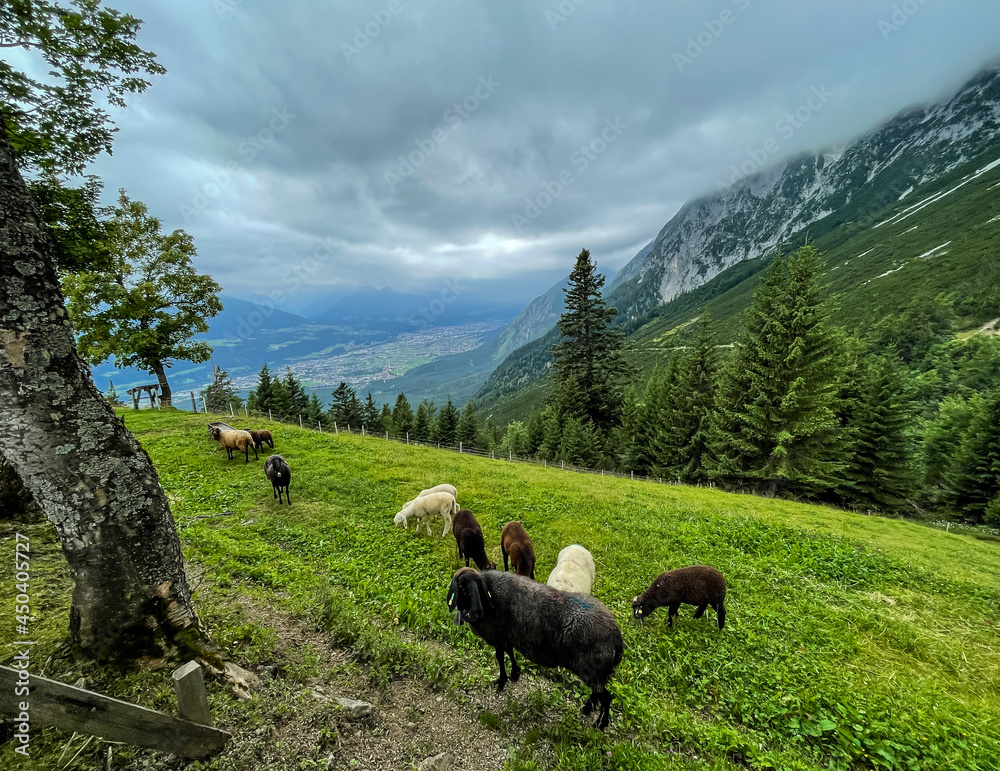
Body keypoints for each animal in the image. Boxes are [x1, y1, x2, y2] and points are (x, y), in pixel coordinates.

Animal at [447, 567, 623, 730]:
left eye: (462, 587)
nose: (467, 612)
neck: (487, 597)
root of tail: (616, 636)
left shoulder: (498, 637)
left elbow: (500, 658)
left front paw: (502, 681)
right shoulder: (507, 637)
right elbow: (509, 653)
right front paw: (515, 674)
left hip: (591, 670)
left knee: (606, 697)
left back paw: (600, 724)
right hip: (595, 673)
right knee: (598, 693)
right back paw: (587, 709)